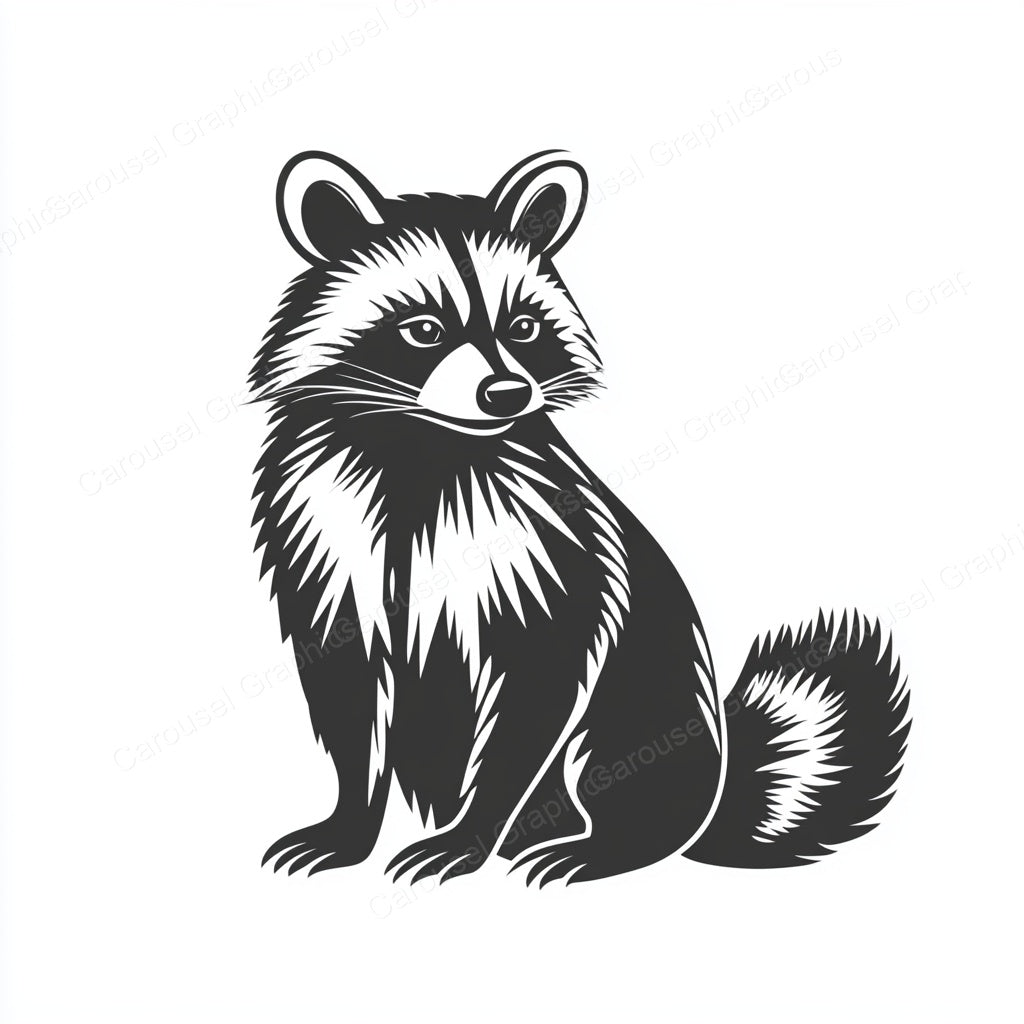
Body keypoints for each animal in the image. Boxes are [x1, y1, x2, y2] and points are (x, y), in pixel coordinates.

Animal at [250, 150, 910, 885]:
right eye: (424, 329)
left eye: (523, 326)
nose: (507, 391)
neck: (425, 447)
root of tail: (714, 789)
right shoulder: (331, 538)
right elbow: (349, 696)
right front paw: (351, 822)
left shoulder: (540, 545)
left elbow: (535, 684)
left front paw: (470, 834)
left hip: (650, 702)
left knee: (619, 753)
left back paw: (602, 841)